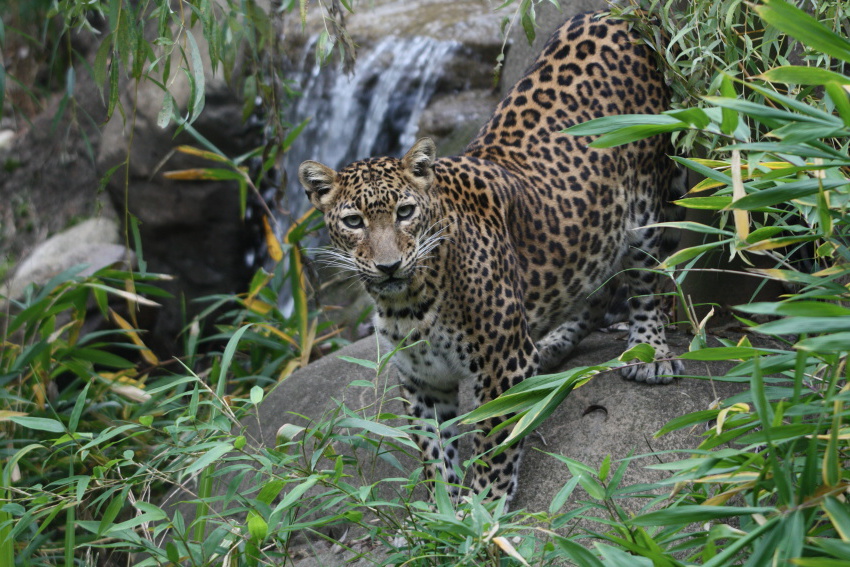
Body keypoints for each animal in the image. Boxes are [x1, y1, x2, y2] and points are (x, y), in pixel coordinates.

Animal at [298, 11, 685, 505]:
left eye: (405, 213)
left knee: (646, 282)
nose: (388, 266)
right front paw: (443, 509)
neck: (410, 303)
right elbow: (434, 451)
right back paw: (555, 342)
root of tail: (617, 14)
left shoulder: (504, 364)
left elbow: (493, 440)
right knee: (595, 288)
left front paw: (484, 505)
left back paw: (650, 351)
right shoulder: (423, 379)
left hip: (645, 213)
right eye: (353, 222)